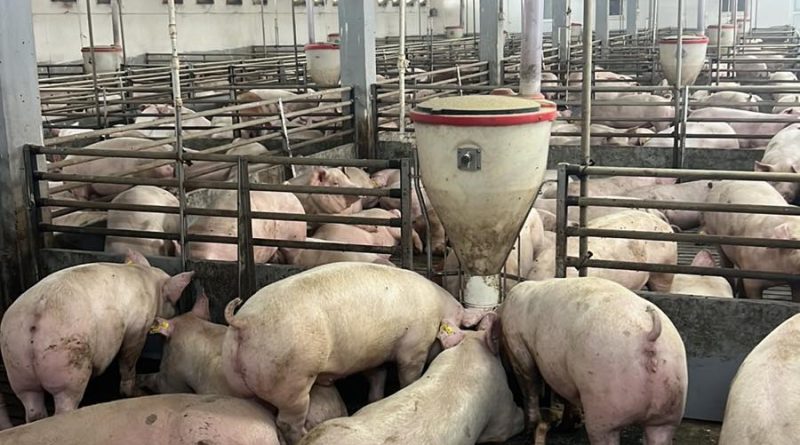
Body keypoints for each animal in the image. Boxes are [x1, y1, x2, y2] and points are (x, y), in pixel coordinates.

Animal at [0, 251, 194, 422]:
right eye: (174, 300)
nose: (177, 310)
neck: (149, 281)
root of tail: (34, 321)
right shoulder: (138, 328)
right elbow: (128, 360)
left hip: (17, 364)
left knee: (32, 409)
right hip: (67, 364)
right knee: (64, 405)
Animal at [221, 262, 476, 444]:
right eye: (459, 324)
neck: (439, 309)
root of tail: (244, 321)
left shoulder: (375, 355)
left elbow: (377, 378)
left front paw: (376, 398)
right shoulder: (413, 348)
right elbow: (408, 376)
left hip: (238, 377)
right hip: (291, 378)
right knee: (287, 422)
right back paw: (306, 433)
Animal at [500, 277, 688, 445]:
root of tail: (649, 333)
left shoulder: (516, 343)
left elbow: (529, 383)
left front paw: (530, 429)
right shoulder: (563, 374)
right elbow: (567, 396)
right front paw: (568, 425)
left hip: (604, 403)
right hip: (669, 407)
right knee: (660, 433)